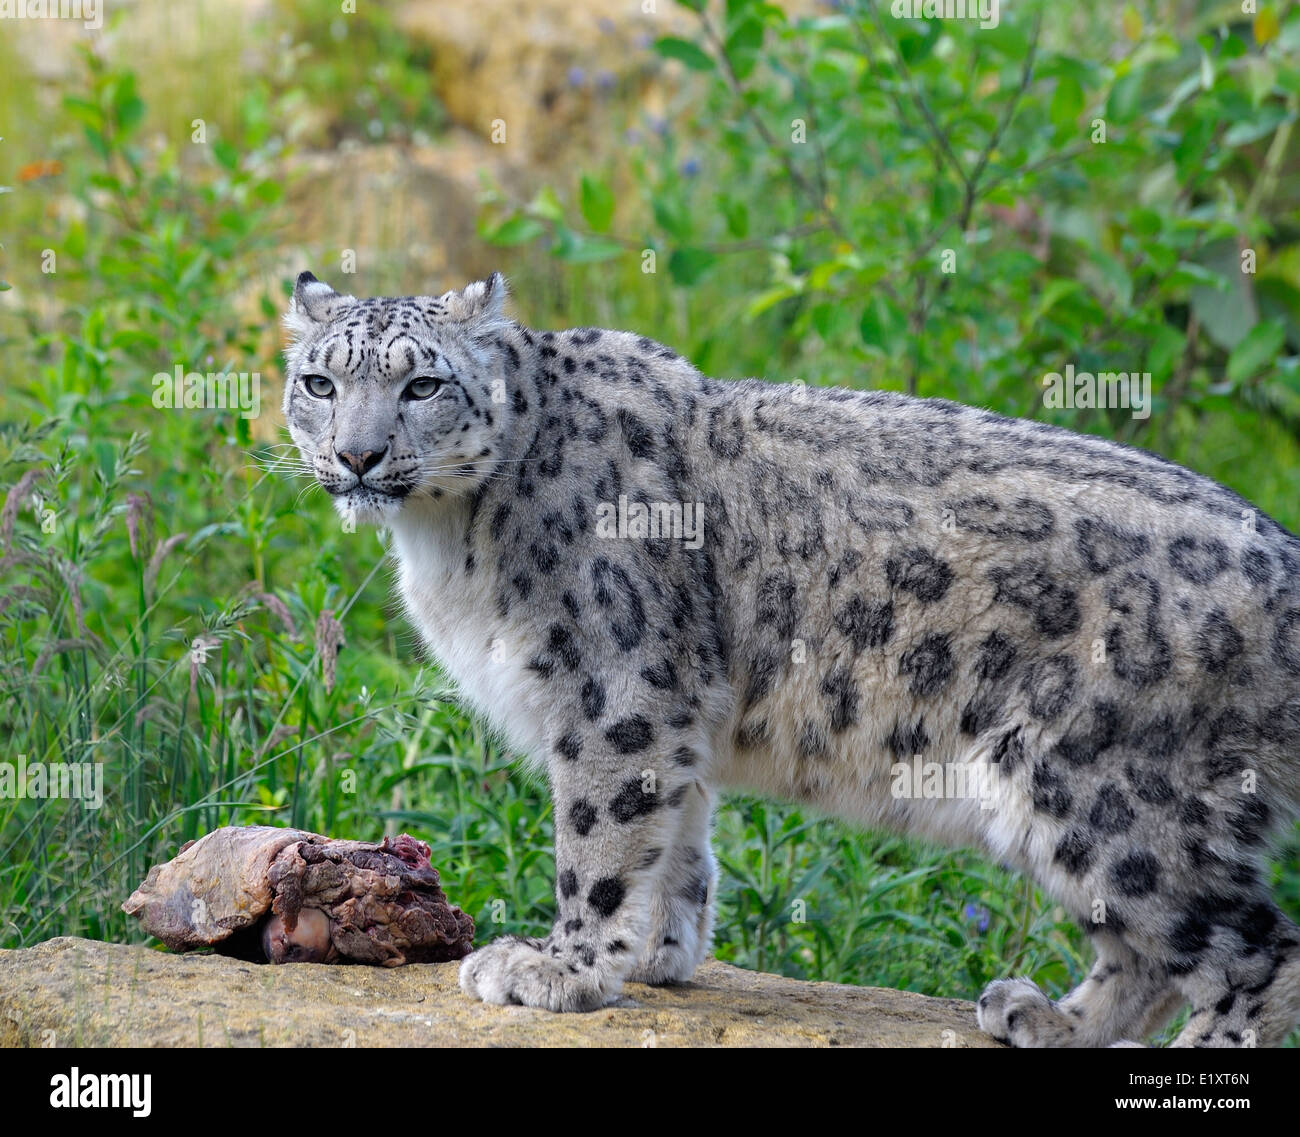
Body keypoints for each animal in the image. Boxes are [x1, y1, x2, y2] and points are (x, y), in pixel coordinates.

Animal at [281, 270, 1300, 1046]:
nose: (357, 456)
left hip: (1104, 792)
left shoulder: (613, 695)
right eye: (319, 382)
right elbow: (678, 835)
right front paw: (659, 951)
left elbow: (597, 842)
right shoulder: (670, 717)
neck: (444, 541)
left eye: (423, 385)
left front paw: (558, 965)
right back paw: (1041, 1017)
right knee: (1148, 953)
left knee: (1253, 948)